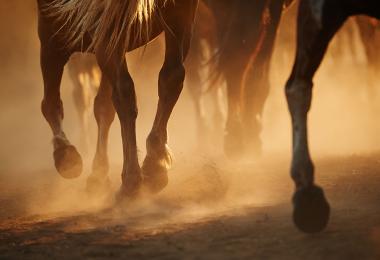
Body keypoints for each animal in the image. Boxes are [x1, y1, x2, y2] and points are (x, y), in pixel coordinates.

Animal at [37, 0, 199, 199]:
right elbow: (103, 107)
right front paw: (98, 173)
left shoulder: (51, 34)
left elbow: (50, 103)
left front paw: (66, 155)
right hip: (179, 14)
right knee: (171, 77)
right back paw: (155, 164)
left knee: (123, 92)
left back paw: (131, 178)